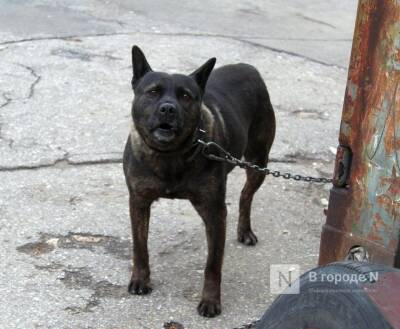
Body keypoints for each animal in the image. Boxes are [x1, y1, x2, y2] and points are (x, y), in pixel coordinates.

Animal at [122, 45, 276, 316]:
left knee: (246, 195)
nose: (168, 108)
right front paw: (140, 279)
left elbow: (212, 264)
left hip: (258, 163)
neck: (170, 155)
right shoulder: (138, 202)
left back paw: (245, 230)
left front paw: (211, 300)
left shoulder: (214, 212)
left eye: (186, 96)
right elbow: (140, 247)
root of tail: (249, 68)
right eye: (153, 92)